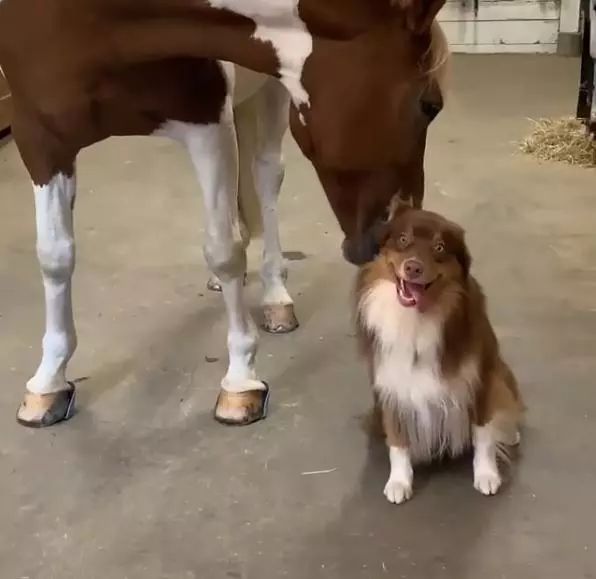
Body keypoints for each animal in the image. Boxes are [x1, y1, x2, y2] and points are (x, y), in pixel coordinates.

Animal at [0, 0, 448, 426]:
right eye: (430, 105)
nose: (404, 237)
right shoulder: (38, 135)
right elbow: (54, 256)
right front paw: (48, 382)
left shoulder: (206, 124)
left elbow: (224, 249)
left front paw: (240, 381)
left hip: (271, 94)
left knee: (266, 174)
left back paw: (275, 297)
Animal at [356, 203, 524, 502]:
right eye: (403, 239)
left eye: (439, 247)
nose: (413, 267)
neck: (416, 318)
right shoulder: (391, 384)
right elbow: (397, 440)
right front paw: (399, 481)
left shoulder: (481, 378)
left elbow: (483, 434)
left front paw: (487, 475)